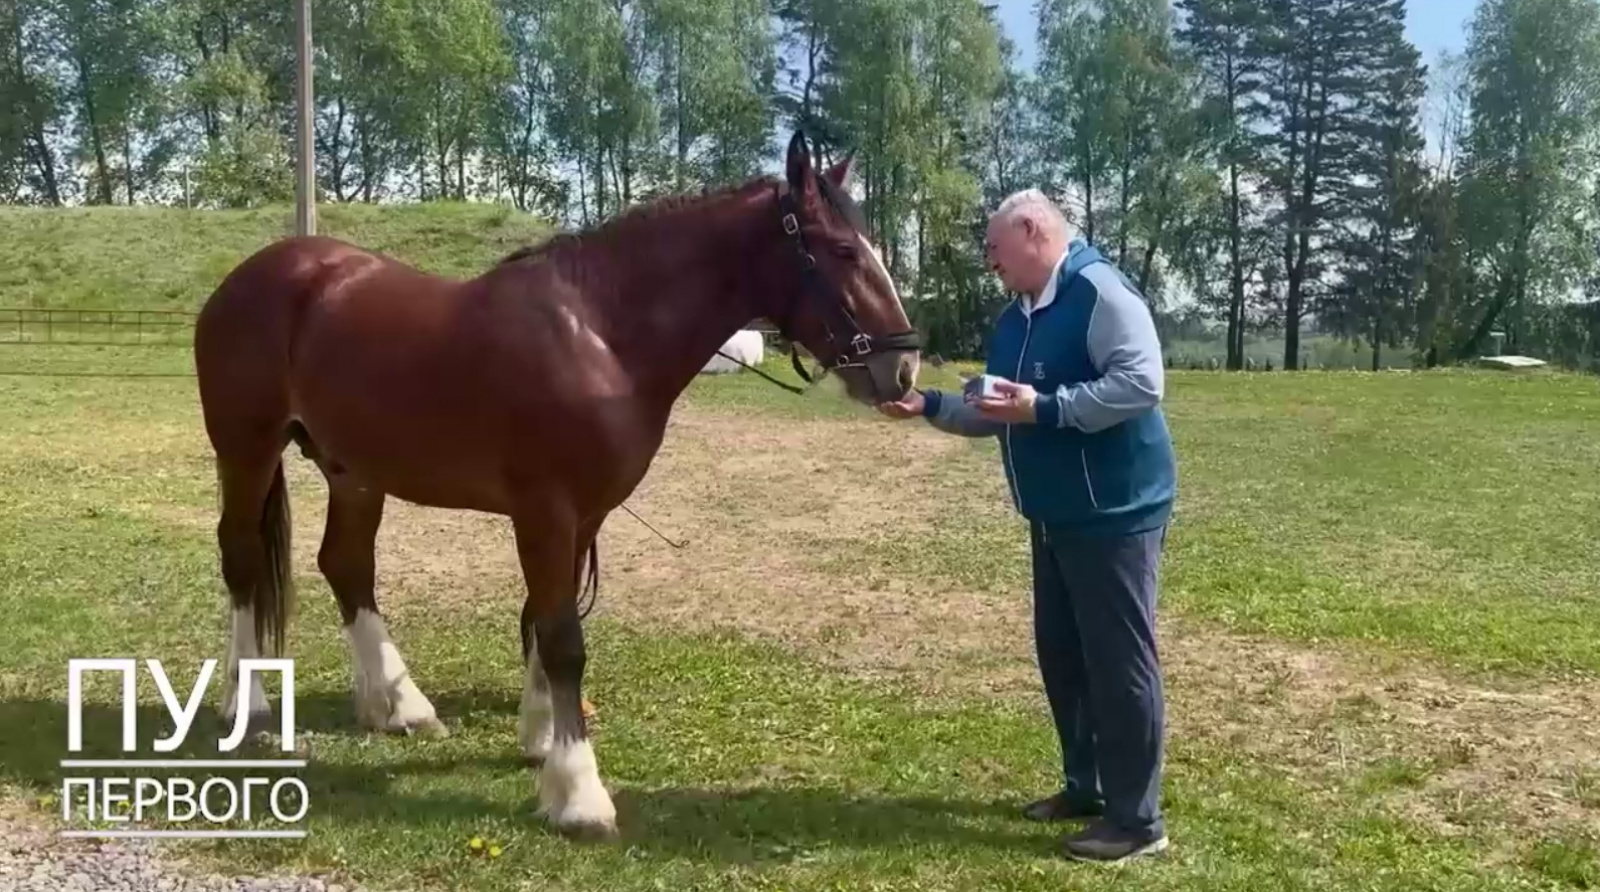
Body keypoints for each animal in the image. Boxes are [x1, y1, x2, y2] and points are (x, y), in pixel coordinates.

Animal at [192, 129, 921, 844]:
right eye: (841, 250)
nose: (904, 368)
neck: (599, 335)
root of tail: (256, 273)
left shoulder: (586, 517)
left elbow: (544, 621)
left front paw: (543, 739)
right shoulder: (545, 510)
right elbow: (564, 639)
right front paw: (578, 794)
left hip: (355, 472)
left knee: (346, 566)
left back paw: (398, 706)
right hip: (247, 449)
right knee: (243, 558)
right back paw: (248, 704)